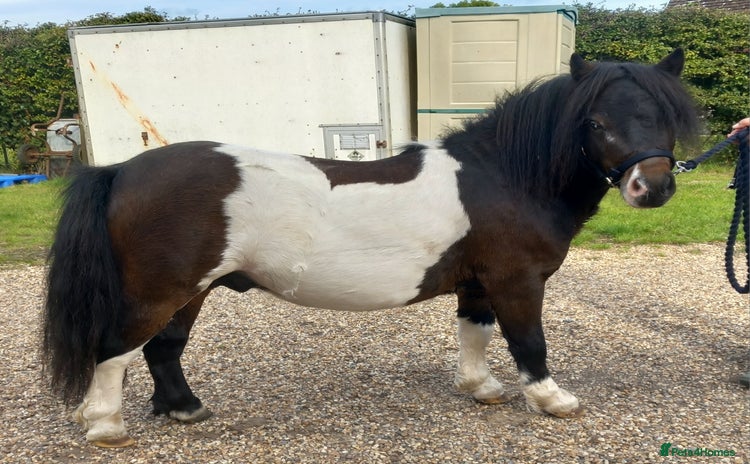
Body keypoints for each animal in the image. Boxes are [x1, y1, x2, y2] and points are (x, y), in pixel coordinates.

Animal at [42, 49, 699, 447]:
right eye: (596, 123)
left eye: (665, 116)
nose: (653, 188)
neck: (505, 176)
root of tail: (121, 170)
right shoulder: (517, 280)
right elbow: (527, 341)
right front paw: (551, 399)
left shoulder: (478, 284)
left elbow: (476, 335)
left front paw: (480, 390)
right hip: (161, 289)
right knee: (115, 350)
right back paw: (104, 426)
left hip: (191, 291)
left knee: (163, 349)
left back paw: (184, 408)